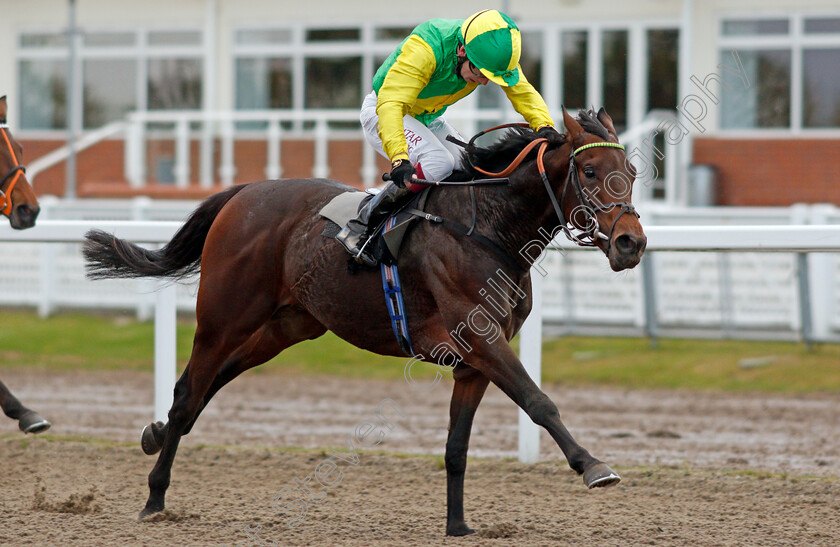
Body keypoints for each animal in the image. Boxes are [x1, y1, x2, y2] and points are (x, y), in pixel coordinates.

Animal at [85, 107, 648, 536]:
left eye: (633, 171)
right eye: (590, 172)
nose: (631, 243)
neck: (486, 227)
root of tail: (241, 193)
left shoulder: (473, 361)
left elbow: (457, 445)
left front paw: (458, 526)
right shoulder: (482, 338)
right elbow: (538, 401)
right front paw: (594, 466)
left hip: (285, 327)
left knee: (208, 386)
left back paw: (156, 433)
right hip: (224, 317)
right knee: (188, 392)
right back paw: (154, 499)